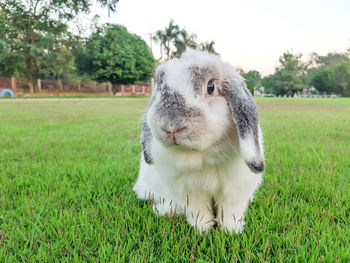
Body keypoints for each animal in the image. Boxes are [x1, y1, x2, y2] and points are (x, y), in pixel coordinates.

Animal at [134, 49, 266, 233]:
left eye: (210, 87)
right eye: (159, 87)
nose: (171, 126)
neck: (201, 155)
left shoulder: (235, 189)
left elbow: (230, 211)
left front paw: (231, 231)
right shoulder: (188, 192)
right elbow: (198, 211)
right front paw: (203, 230)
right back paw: (167, 211)